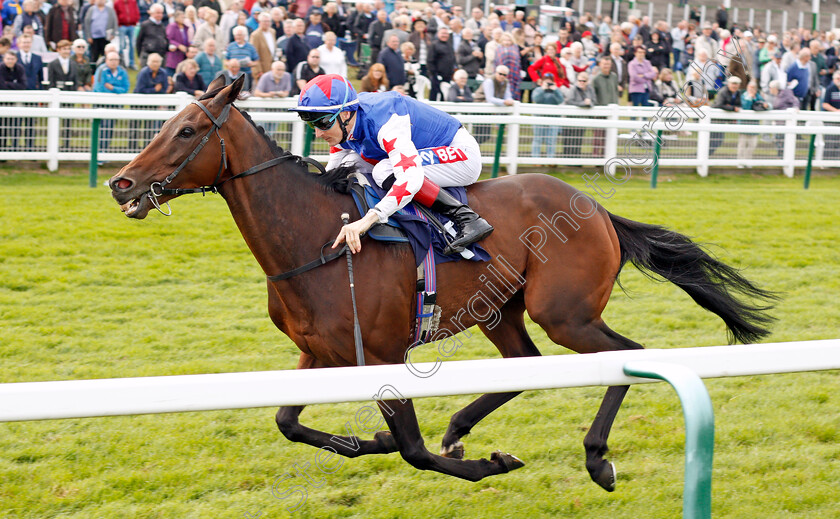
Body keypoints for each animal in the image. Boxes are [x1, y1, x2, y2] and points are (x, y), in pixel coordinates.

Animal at [110, 76, 776, 488]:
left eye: (188, 132)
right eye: (166, 123)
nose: (121, 182)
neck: (313, 240)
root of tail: (595, 208)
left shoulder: (382, 353)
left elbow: (411, 448)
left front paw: (487, 464)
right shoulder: (317, 352)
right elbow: (288, 422)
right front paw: (375, 441)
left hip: (565, 312)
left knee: (626, 355)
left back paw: (596, 459)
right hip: (501, 310)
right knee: (524, 363)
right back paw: (460, 428)